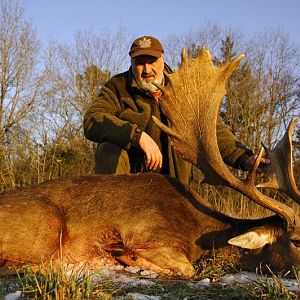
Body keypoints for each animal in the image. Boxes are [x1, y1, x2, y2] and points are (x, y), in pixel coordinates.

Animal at [0, 48, 300, 278]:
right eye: (296, 240)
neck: (201, 232)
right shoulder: (148, 233)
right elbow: (188, 269)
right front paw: (125, 256)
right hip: (47, 227)